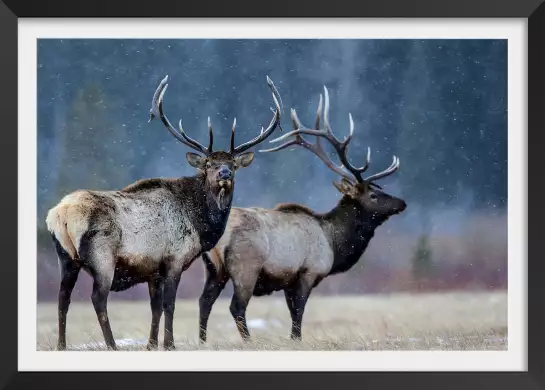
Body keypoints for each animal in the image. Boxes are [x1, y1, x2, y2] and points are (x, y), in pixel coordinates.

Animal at [45, 74, 282, 350]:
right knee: (97, 299)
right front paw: (169, 344)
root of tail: (60, 215)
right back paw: (112, 345)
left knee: (63, 299)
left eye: (233, 164)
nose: (225, 173)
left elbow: (155, 308)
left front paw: (151, 344)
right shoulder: (174, 259)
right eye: (209, 164)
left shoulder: (153, 270)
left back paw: (62, 345)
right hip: (102, 256)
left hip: (65, 257)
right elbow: (169, 305)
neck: (200, 223)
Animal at [198, 84, 406, 342]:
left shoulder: (289, 280)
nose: (402, 203)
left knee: (204, 301)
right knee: (236, 306)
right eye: (374, 195)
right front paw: (295, 339)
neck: (333, 242)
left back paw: (203, 340)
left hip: (213, 268)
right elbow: (298, 314)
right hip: (246, 267)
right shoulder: (308, 272)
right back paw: (248, 341)